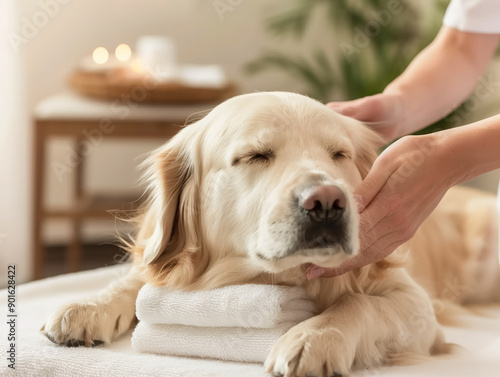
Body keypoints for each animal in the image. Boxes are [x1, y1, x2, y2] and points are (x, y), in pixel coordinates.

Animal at [41, 92, 498, 376]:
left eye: (339, 155)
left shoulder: (418, 309)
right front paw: (87, 306)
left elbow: (359, 302)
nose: (327, 202)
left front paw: (312, 339)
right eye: (255, 156)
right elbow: (137, 283)